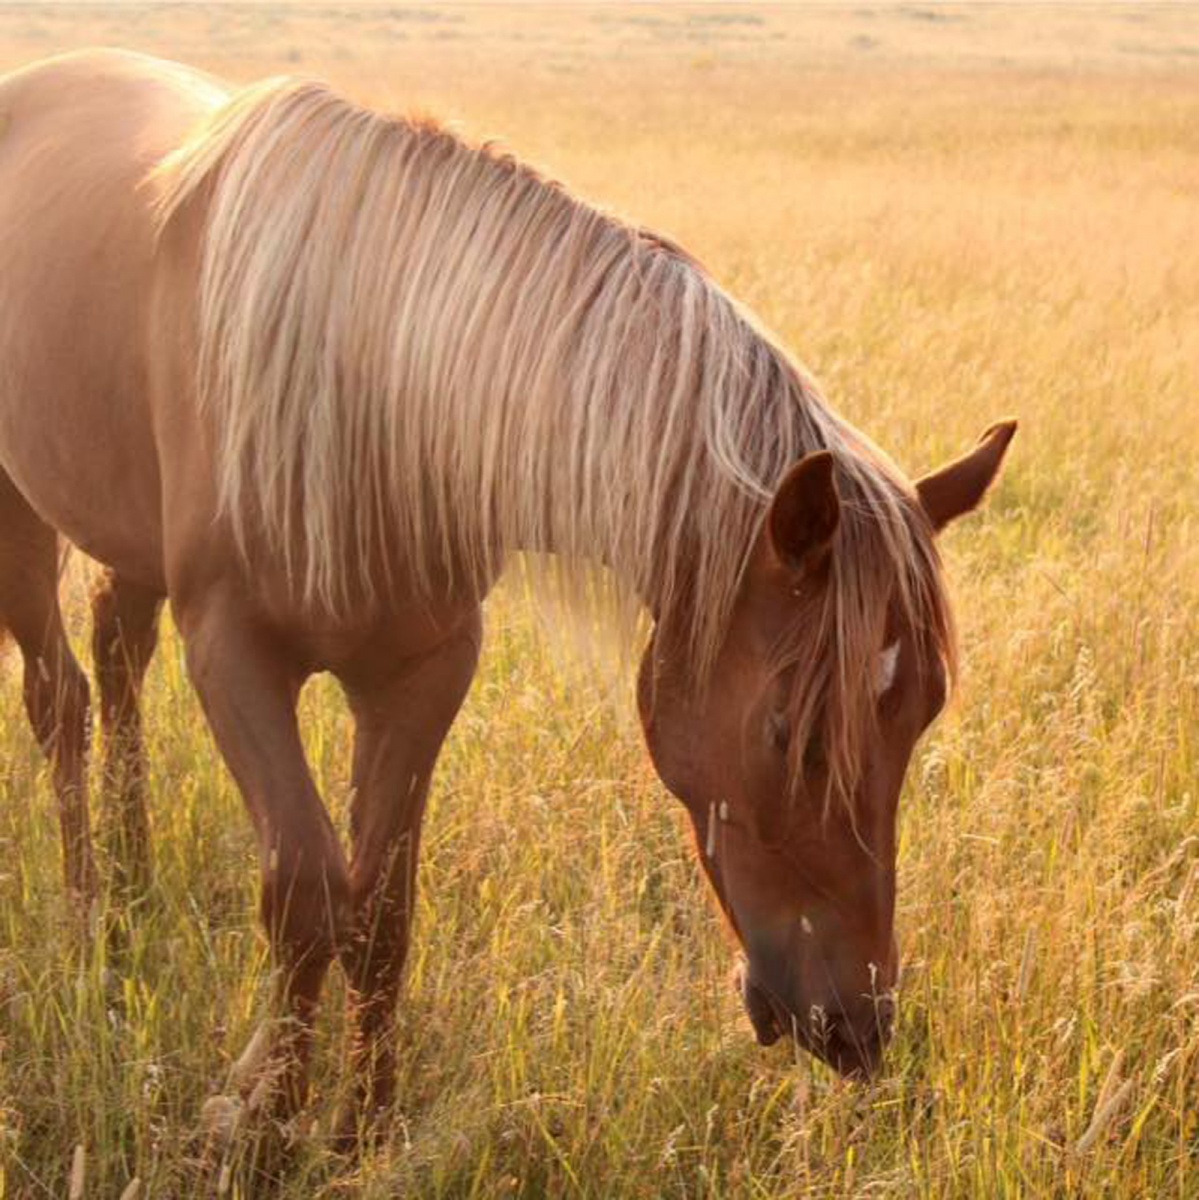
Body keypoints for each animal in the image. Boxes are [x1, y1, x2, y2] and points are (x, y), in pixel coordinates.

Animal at [0, 49, 1012, 1142]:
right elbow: (305, 894)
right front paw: (262, 1119)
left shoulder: (422, 671)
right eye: (789, 733)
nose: (857, 1026)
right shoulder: (234, 653)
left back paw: (135, 877)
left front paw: (362, 1126)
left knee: (116, 660)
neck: (375, 391)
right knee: (60, 698)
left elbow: (381, 908)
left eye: (922, 716)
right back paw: (91, 911)